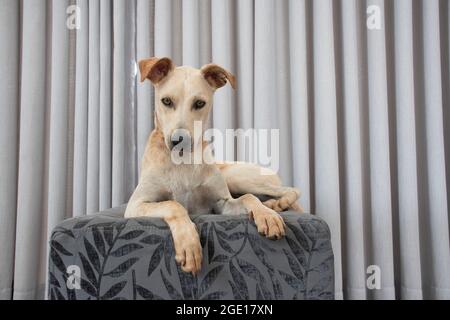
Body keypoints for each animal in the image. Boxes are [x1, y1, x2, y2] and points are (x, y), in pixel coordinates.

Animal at [125, 56, 302, 274]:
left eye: (199, 103)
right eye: (166, 101)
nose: (179, 141)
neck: (182, 162)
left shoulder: (221, 204)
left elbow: (248, 198)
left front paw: (267, 215)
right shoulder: (135, 205)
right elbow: (173, 204)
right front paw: (189, 244)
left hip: (236, 177)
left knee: (288, 190)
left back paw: (277, 204)